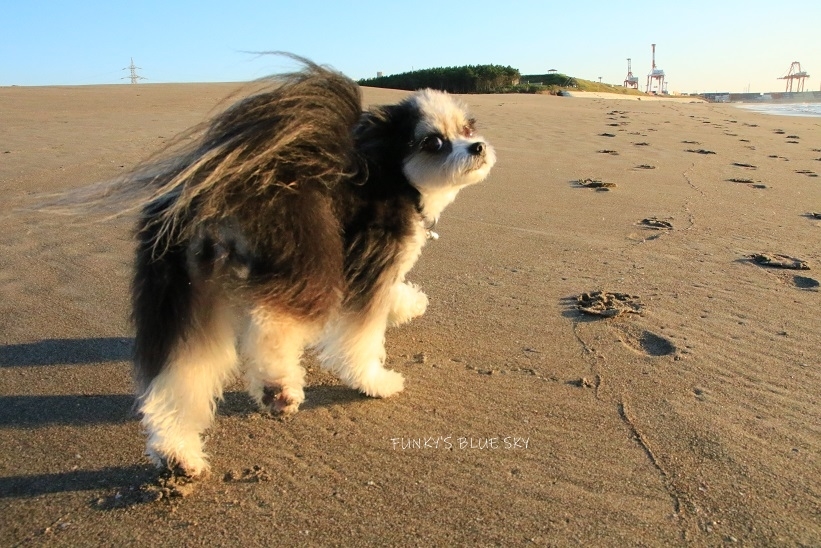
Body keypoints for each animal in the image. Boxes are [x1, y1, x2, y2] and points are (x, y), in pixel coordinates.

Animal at [123, 62, 494, 478]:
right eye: (433, 143)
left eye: (467, 129)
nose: (478, 147)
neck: (393, 174)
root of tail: (217, 194)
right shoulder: (373, 263)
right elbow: (362, 338)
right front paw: (374, 381)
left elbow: (394, 294)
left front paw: (408, 304)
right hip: (306, 262)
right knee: (270, 326)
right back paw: (277, 386)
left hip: (185, 295)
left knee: (178, 376)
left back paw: (176, 451)